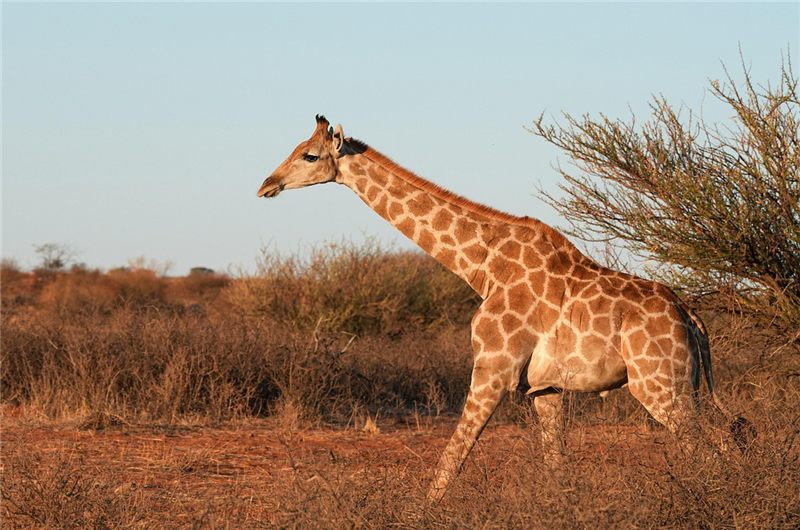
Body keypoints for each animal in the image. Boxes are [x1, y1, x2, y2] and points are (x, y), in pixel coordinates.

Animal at [256, 115, 749, 502]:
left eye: (309, 156)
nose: (266, 185)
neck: (482, 265)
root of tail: (691, 317)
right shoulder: (546, 388)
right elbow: (556, 470)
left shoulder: (493, 367)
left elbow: (451, 459)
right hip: (685, 384)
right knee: (728, 440)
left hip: (660, 384)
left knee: (712, 449)